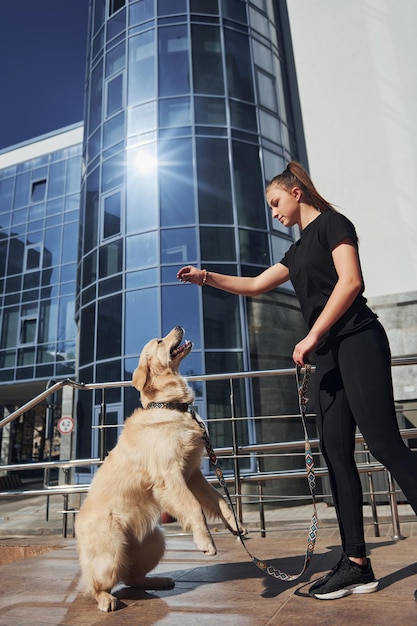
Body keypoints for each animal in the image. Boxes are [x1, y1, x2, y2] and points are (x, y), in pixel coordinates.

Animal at [75, 324, 244, 608]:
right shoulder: (170, 475)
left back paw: (157, 581)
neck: (171, 406)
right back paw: (106, 599)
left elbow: (219, 500)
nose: (178, 326)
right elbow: (194, 507)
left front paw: (236, 525)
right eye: (159, 341)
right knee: (96, 585)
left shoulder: (193, 473)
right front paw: (206, 542)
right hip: (111, 550)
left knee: (131, 577)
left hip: (156, 541)